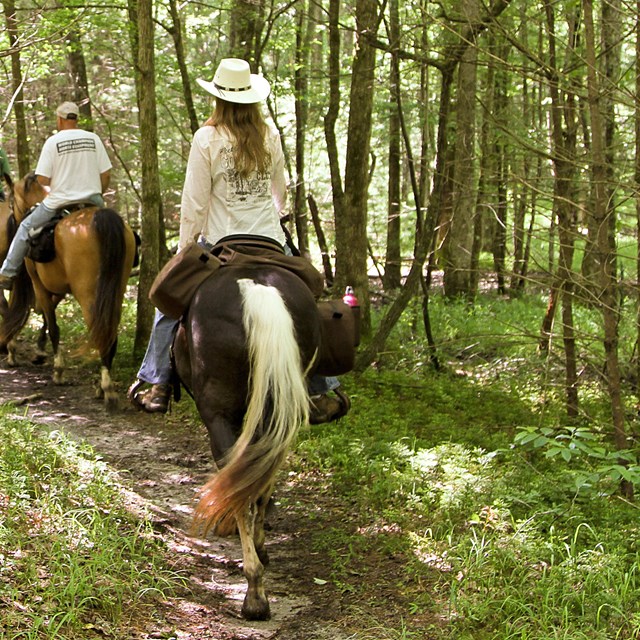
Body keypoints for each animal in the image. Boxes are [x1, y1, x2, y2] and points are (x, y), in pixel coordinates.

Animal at [2, 170, 138, 410]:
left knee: (100, 331)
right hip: (116, 290)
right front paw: (39, 351)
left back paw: (107, 389)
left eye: (11, 202)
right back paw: (101, 387)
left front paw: (58, 371)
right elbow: (47, 317)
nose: (14, 221)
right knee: (110, 331)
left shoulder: (40, 284)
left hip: (88, 294)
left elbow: (53, 325)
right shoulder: (58, 287)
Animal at [174, 264, 320, 620]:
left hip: (219, 414)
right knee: (264, 472)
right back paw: (259, 553)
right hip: (279, 405)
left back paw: (254, 593)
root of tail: (255, 288)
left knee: (234, 479)